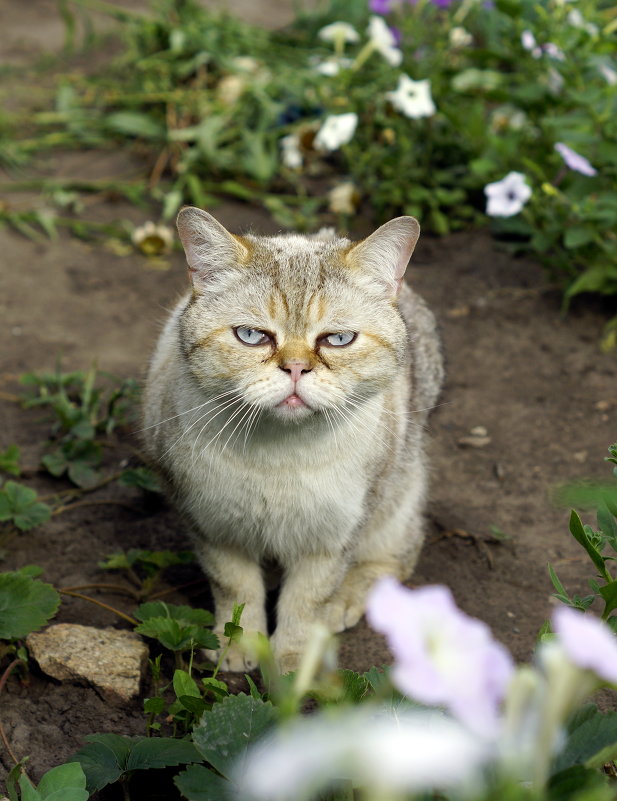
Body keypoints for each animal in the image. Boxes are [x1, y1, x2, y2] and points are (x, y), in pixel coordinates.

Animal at [142, 206, 442, 668]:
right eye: (252, 336)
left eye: (338, 339)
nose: (297, 368)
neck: (279, 456)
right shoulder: (212, 526)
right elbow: (236, 590)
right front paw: (238, 648)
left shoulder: (331, 539)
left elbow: (306, 604)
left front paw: (294, 665)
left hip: (398, 497)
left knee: (395, 559)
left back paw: (348, 601)